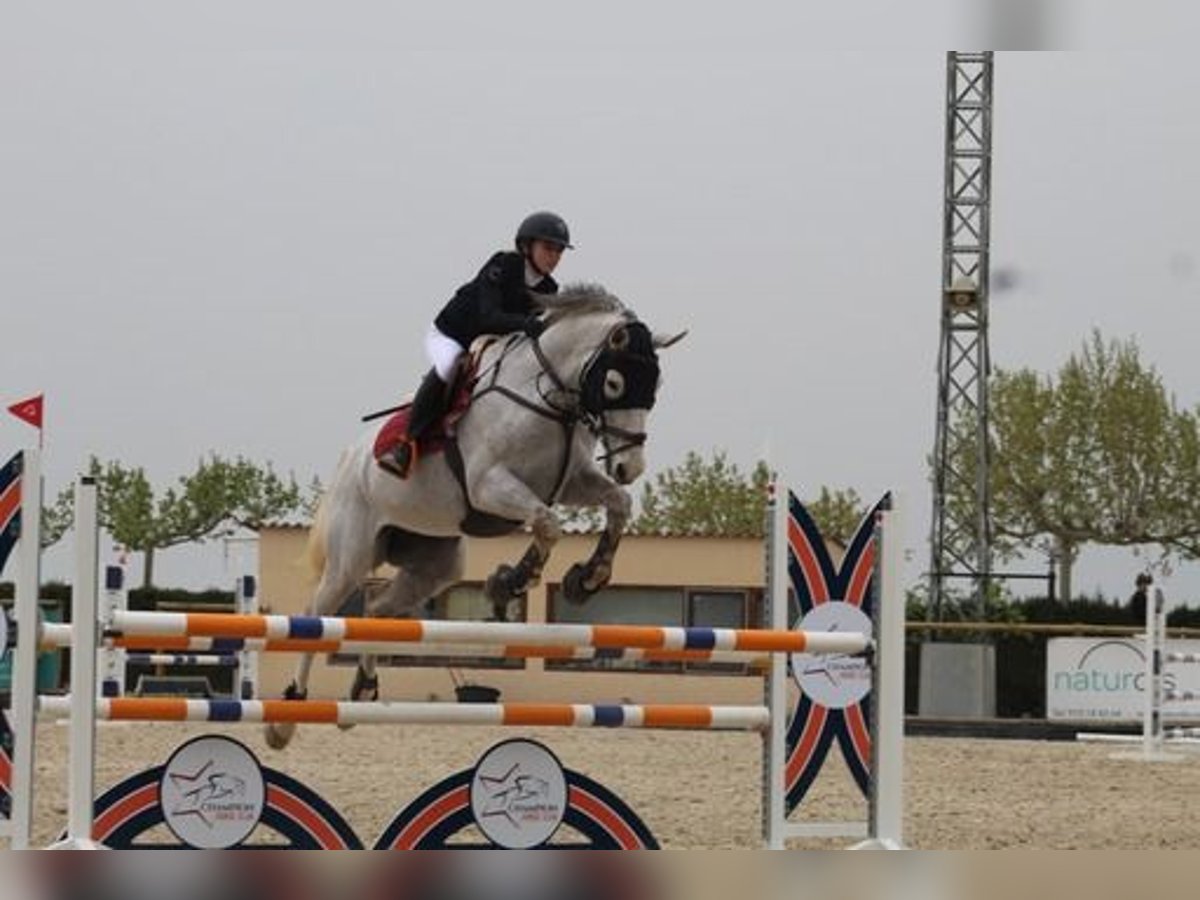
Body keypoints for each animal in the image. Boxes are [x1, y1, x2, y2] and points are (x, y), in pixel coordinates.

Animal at [271, 285, 686, 748]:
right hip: (350, 559)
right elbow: (548, 523)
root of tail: (350, 459)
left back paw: (362, 692)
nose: (630, 467)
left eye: (655, 388)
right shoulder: (489, 485)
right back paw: (287, 713)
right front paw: (511, 582)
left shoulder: (574, 481)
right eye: (614, 384)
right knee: (315, 615)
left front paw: (588, 577)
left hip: (435, 563)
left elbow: (618, 504)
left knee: (378, 608)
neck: (548, 400)